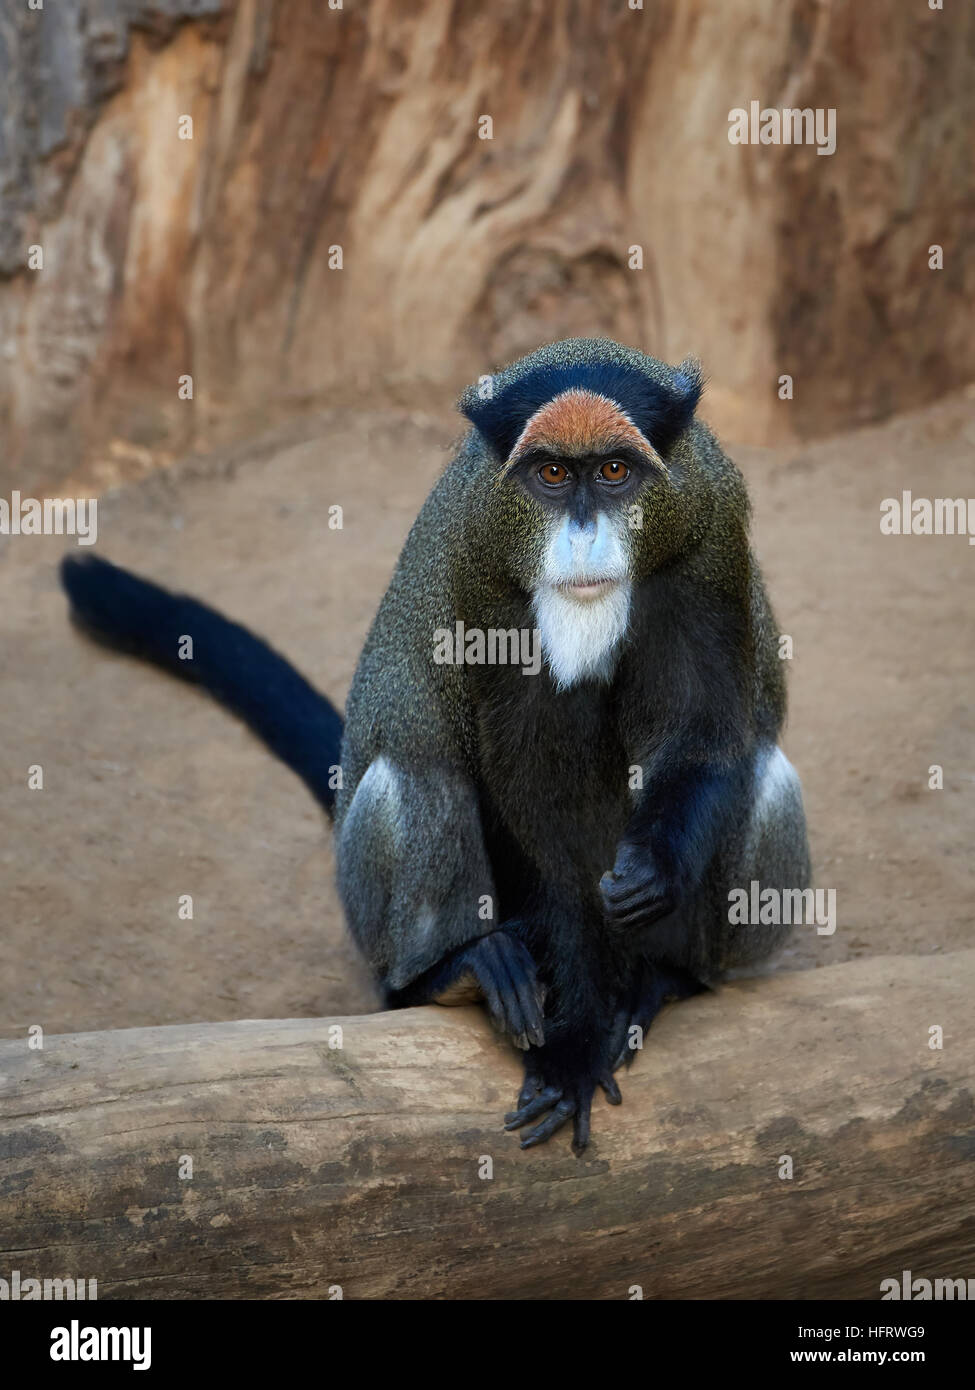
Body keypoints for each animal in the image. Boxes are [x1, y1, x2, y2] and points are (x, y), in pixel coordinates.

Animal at [61, 337, 810, 1153]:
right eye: (551, 475)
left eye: (615, 472)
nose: (582, 537)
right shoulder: (481, 570)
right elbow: (534, 812)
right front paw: (573, 1044)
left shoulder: (712, 535)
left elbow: (705, 736)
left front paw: (651, 877)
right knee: (413, 776)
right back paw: (452, 973)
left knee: (764, 774)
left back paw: (667, 977)